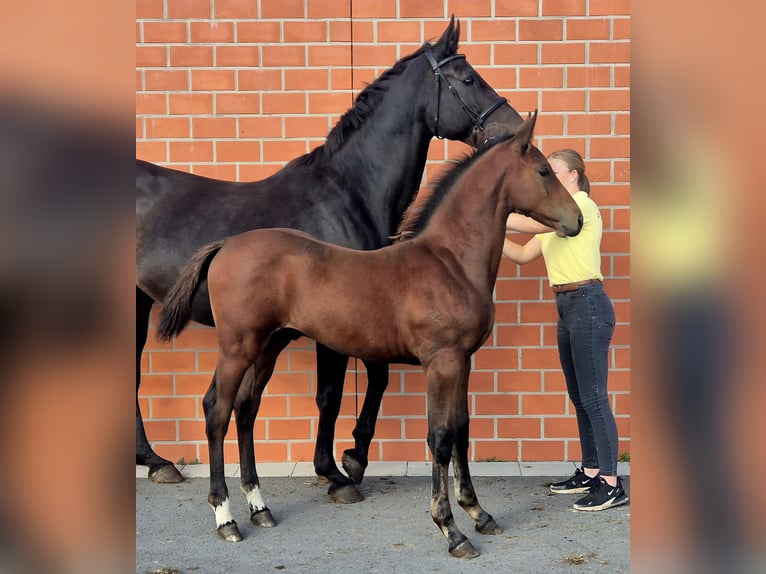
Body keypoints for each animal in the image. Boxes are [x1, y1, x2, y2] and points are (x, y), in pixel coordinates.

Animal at [136, 17, 524, 502]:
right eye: (469, 79)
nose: (515, 129)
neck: (348, 190)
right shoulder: (337, 324)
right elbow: (334, 394)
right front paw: (338, 471)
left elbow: (373, 379)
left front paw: (352, 457)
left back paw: (156, 462)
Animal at [156, 111, 583, 558]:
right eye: (543, 171)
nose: (577, 220)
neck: (450, 262)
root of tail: (225, 245)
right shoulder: (441, 363)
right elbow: (440, 438)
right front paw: (451, 530)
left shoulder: (462, 361)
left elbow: (462, 431)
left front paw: (479, 514)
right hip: (237, 347)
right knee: (217, 410)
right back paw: (226, 518)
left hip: (268, 345)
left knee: (246, 410)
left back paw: (260, 508)